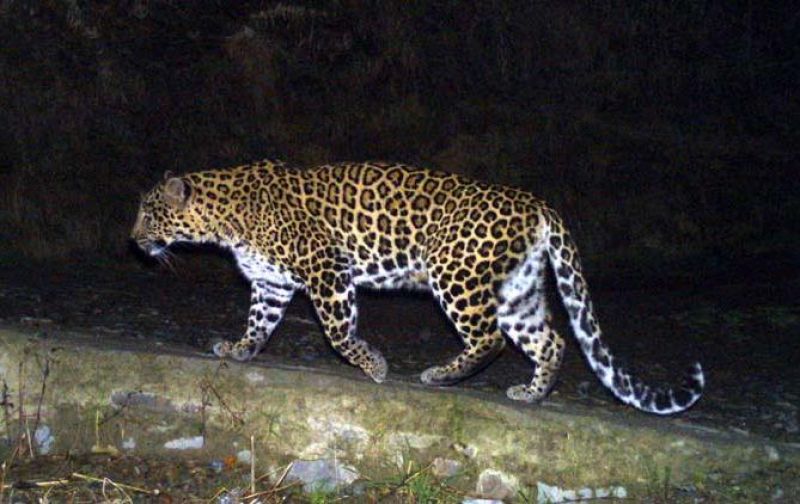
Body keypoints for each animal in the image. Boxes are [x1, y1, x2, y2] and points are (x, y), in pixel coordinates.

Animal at [133, 159, 708, 416]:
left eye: (148, 212)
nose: (133, 240)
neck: (224, 217)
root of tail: (536, 203)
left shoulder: (326, 268)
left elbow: (338, 331)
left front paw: (373, 365)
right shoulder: (272, 283)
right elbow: (258, 323)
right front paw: (239, 349)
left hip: (455, 274)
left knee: (490, 339)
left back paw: (441, 375)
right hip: (518, 289)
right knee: (552, 340)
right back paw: (531, 393)